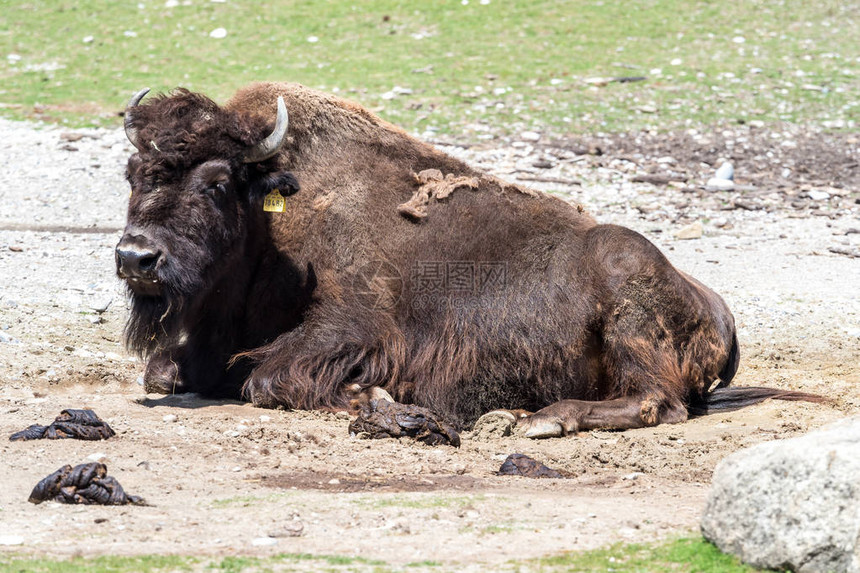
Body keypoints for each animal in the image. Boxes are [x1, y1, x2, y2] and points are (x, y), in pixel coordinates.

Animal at [117, 81, 816, 438]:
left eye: (217, 182)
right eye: (132, 173)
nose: (135, 257)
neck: (276, 220)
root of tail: (717, 308)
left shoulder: (353, 327)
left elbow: (267, 380)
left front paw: (378, 401)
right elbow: (161, 371)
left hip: (628, 307)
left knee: (655, 402)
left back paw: (539, 422)